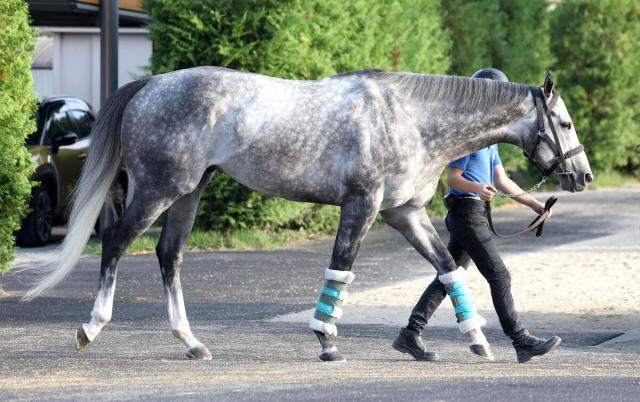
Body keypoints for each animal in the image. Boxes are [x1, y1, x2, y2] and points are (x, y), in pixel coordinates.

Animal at [25, 66, 596, 362]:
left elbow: (448, 268)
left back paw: (192, 343)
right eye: (565, 123)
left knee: (170, 255)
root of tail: (153, 84)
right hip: (159, 189)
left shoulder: (404, 214)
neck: (410, 117)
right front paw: (326, 341)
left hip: (188, 192)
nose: (584, 175)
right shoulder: (362, 206)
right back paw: (91, 328)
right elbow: (340, 270)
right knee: (117, 242)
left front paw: (476, 340)